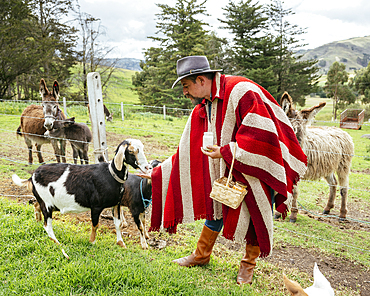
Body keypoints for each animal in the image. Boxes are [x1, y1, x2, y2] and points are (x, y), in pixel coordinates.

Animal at [11, 139, 150, 247]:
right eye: (131, 151)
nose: (147, 167)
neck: (111, 174)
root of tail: (32, 176)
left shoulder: (116, 204)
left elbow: (118, 224)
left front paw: (121, 243)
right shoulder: (96, 206)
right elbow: (95, 224)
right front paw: (92, 242)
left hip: (44, 201)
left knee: (36, 205)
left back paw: (38, 220)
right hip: (47, 203)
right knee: (47, 225)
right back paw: (57, 243)